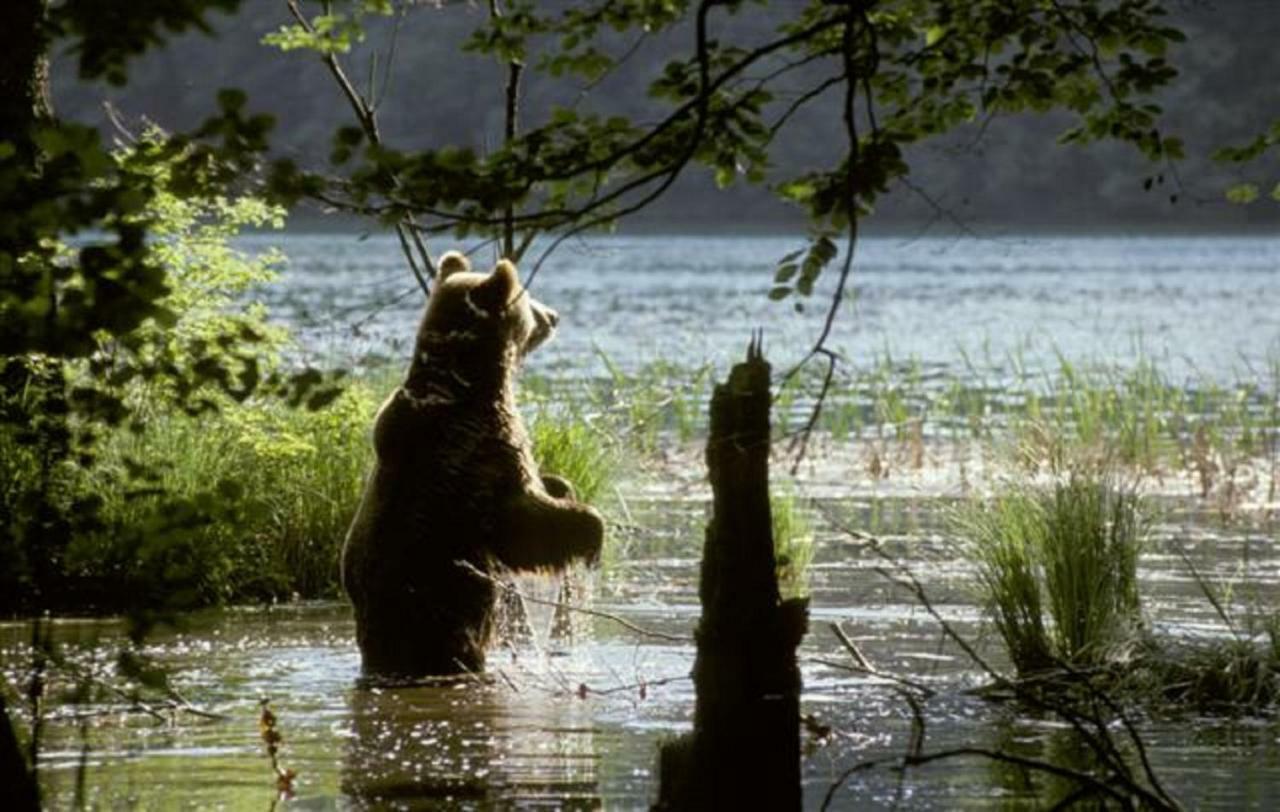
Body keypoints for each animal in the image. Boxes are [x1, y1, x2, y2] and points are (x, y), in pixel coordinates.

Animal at [343, 253, 606, 676]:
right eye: (528, 298)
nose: (553, 315)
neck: (464, 382)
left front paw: (560, 484)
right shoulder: (480, 453)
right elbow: (527, 522)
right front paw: (589, 531)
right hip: (444, 616)